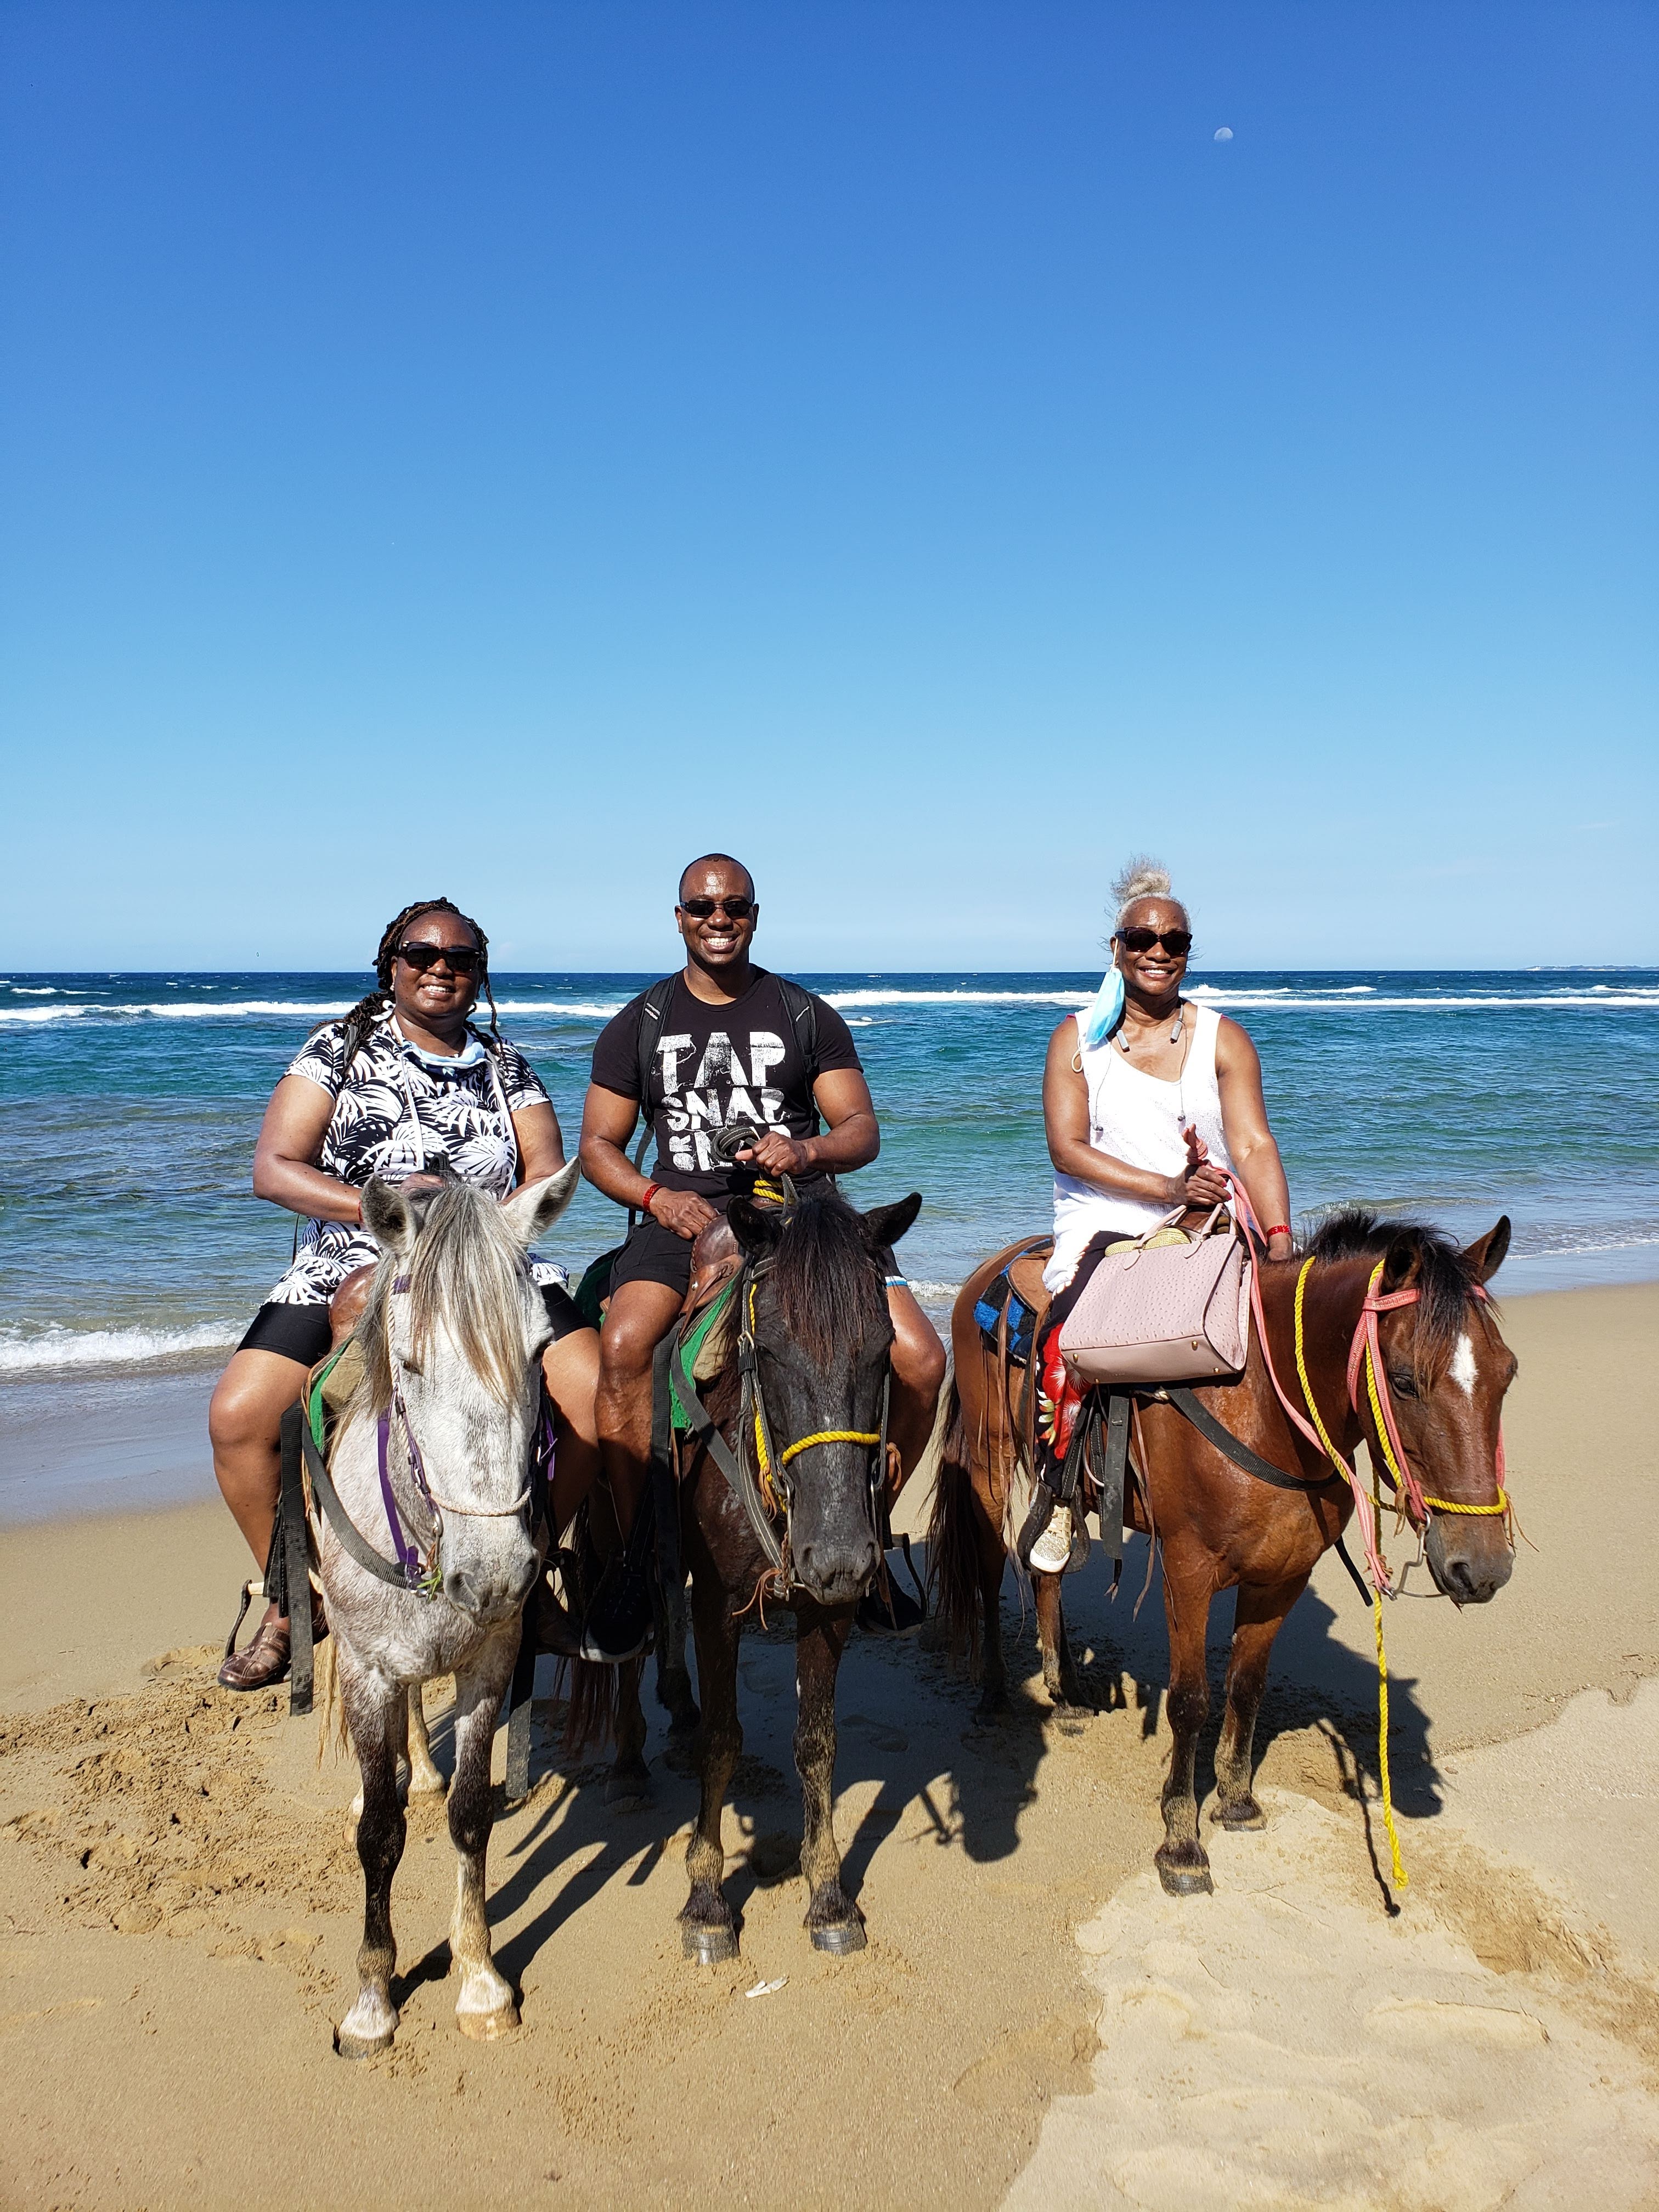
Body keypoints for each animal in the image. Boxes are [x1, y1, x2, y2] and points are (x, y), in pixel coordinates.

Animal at [320, 1167, 579, 2061]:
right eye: (409, 1361)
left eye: (539, 1350)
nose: (496, 1578)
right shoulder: (367, 1670)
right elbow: (378, 1836)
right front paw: (372, 2000)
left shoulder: (489, 1665)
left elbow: (471, 1816)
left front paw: (479, 1981)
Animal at [938, 1203, 1522, 1893]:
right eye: (1404, 1382)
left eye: (1508, 1373)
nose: (1481, 1566)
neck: (1263, 1404)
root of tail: (992, 1269)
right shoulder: (1187, 1574)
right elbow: (1191, 1701)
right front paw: (1181, 1841)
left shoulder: (1282, 1578)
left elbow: (1246, 1685)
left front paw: (1237, 1800)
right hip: (990, 1461)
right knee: (988, 1567)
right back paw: (996, 1690)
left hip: (1065, 1489)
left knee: (1046, 1568)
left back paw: (1069, 1691)